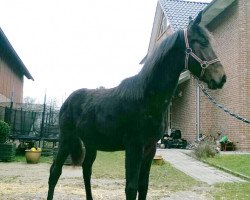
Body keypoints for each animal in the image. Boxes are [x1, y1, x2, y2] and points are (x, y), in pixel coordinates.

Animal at [46, 12, 227, 200]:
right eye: (202, 42)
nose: (221, 78)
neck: (146, 99)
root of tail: (67, 101)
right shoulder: (134, 147)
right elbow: (131, 188)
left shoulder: (150, 149)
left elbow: (143, 186)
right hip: (66, 139)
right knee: (55, 172)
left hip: (91, 143)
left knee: (86, 169)